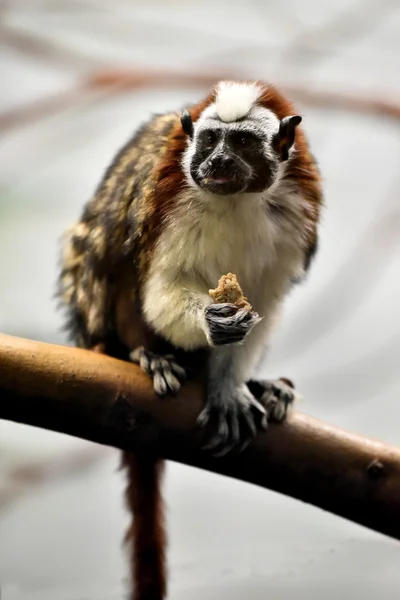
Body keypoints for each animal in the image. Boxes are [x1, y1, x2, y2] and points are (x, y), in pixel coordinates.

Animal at [57, 81, 324, 600]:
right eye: (210, 141)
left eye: (242, 143)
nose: (217, 162)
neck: (236, 201)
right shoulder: (169, 202)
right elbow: (160, 287)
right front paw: (208, 320)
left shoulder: (295, 213)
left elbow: (263, 303)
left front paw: (230, 388)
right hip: (96, 320)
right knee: (108, 249)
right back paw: (147, 355)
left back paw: (261, 387)